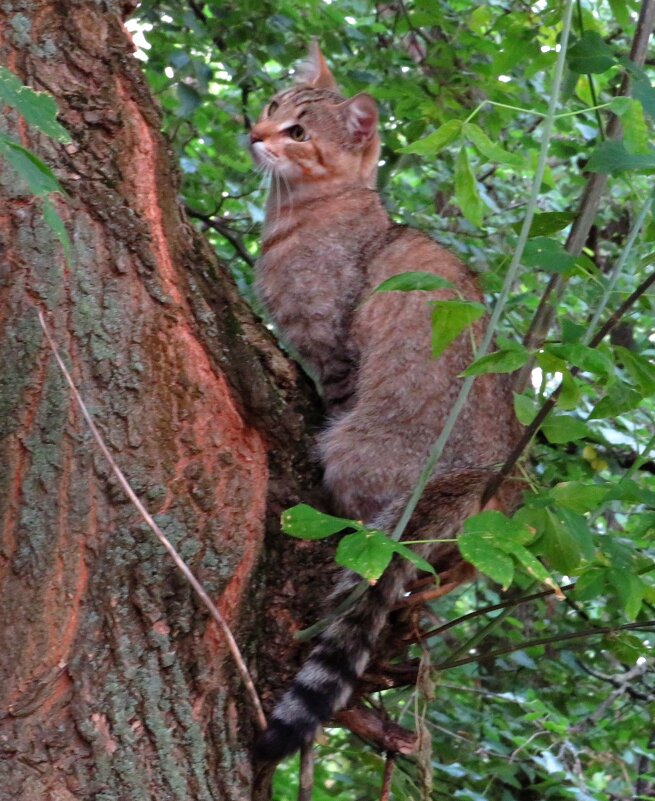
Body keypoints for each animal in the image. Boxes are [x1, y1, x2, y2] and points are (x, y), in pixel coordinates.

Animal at [251, 45, 524, 764]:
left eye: (298, 132)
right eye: (272, 105)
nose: (255, 135)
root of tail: (475, 477)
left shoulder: (333, 347)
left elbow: (331, 390)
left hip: (355, 455)